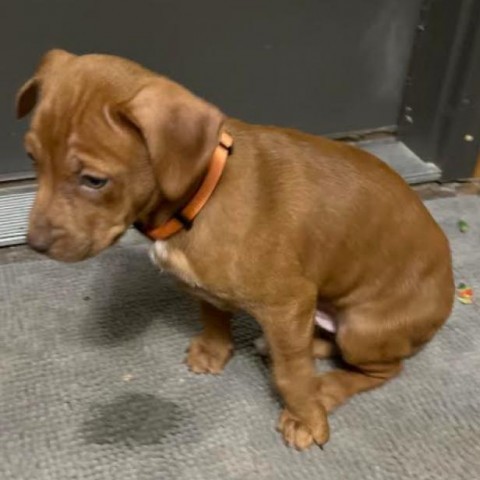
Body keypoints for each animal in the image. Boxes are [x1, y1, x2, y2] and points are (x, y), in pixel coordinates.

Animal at [17, 49, 454, 450]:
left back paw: (325, 388)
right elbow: (213, 314)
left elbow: (292, 374)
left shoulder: (289, 301)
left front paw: (307, 417)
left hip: (363, 330)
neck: (200, 199)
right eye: (32, 159)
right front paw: (214, 351)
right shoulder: (208, 285)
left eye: (94, 180)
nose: (35, 244)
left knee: (381, 370)